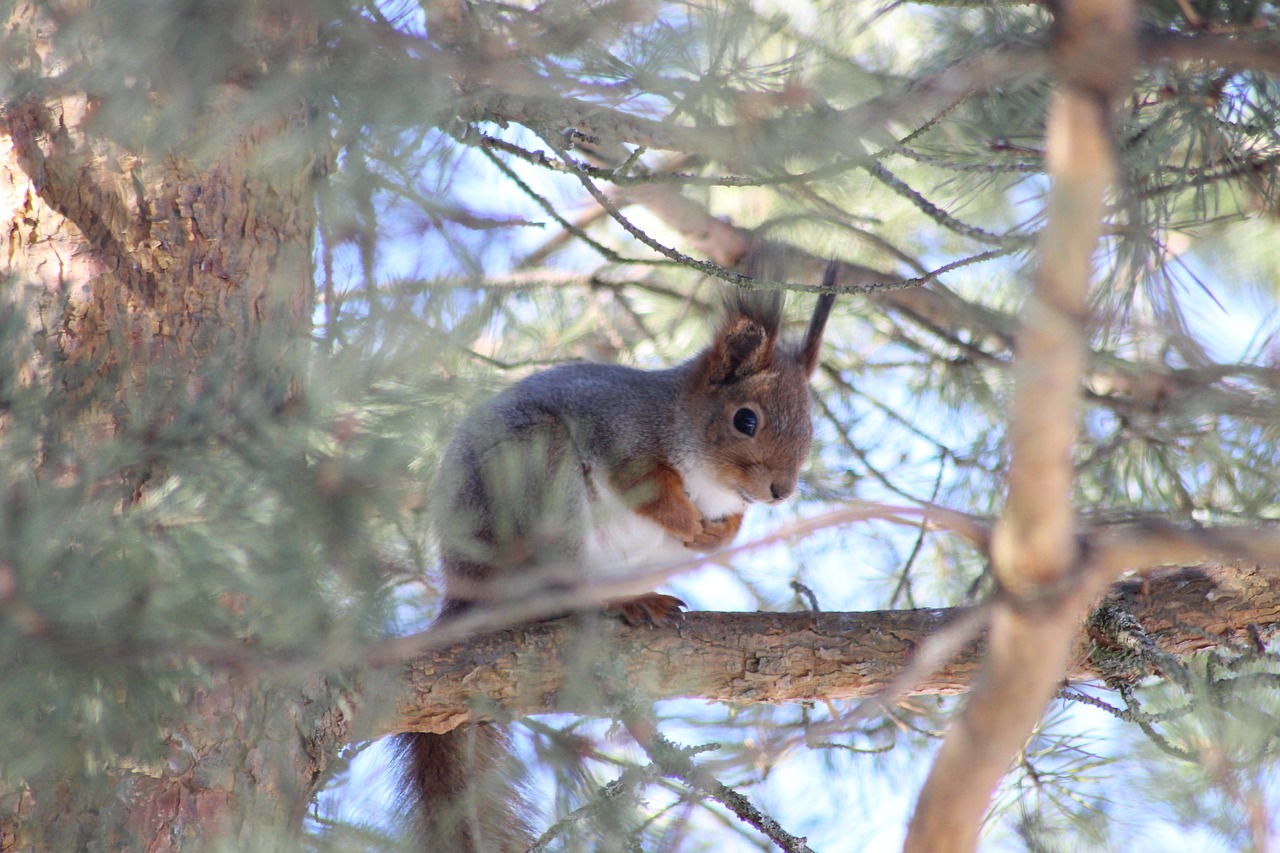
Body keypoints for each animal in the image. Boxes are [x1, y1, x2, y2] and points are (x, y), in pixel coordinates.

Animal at [396, 262, 839, 845]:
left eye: (810, 426)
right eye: (746, 420)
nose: (781, 491)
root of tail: (467, 587)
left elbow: (729, 524)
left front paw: (716, 533)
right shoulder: (619, 435)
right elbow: (645, 487)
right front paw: (686, 519)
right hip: (539, 479)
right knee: (558, 592)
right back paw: (614, 603)